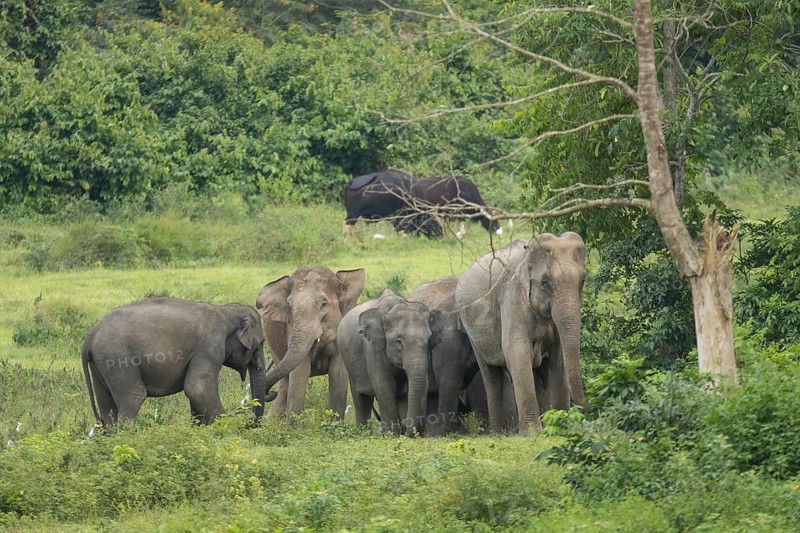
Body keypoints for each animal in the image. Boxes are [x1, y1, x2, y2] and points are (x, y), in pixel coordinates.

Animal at [81, 297, 267, 426]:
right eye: (262, 343)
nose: (251, 421)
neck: (225, 310)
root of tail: (90, 336)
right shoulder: (209, 347)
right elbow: (197, 388)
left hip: (101, 364)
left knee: (107, 407)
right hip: (118, 359)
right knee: (133, 397)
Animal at [256, 266, 365, 420]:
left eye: (324, 304)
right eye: (289, 305)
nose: (269, 392)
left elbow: (338, 373)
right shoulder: (291, 329)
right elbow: (299, 372)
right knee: (285, 381)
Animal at [337, 289, 444, 435]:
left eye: (429, 340)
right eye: (399, 342)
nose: (408, 430)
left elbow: (422, 384)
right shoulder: (372, 347)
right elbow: (383, 384)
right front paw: (392, 433)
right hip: (350, 364)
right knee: (361, 398)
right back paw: (364, 431)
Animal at [455, 233, 587, 436]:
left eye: (583, 281)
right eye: (545, 283)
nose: (584, 409)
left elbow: (558, 358)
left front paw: (560, 427)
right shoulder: (512, 298)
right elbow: (517, 351)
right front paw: (532, 434)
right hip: (471, 330)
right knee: (491, 377)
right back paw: (499, 433)